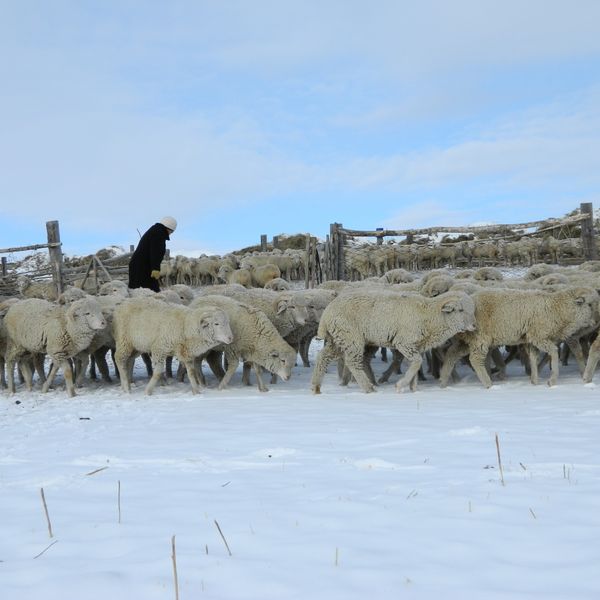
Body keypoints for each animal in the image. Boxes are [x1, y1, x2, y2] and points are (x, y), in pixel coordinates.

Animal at [312, 290, 476, 394]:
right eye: (460, 310)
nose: (474, 326)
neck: (429, 316)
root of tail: (327, 312)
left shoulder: (416, 346)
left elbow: (415, 364)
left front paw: (414, 389)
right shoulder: (404, 342)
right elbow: (417, 362)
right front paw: (401, 385)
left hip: (338, 339)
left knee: (322, 357)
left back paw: (316, 387)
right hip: (351, 337)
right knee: (352, 362)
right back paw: (368, 388)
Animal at [438, 288, 596, 390]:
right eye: (589, 304)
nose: (595, 322)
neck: (556, 309)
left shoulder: (531, 339)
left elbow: (533, 357)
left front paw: (534, 380)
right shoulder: (538, 336)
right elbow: (554, 351)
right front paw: (552, 380)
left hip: (466, 339)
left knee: (451, 354)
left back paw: (443, 381)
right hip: (479, 337)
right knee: (475, 359)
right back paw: (488, 384)